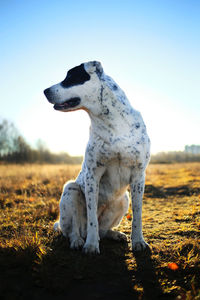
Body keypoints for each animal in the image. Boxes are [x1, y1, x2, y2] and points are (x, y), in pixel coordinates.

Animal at [43, 61, 150, 253]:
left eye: (71, 78)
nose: (45, 91)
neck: (112, 124)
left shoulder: (138, 175)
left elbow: (137, 215)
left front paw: (138, 241)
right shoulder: (93, 175)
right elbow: (92, 216)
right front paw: (91, 245)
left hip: (124, 199)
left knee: (103, 229)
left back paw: (115, 234)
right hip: (71, 190)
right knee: (74, 230)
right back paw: (78, 241)